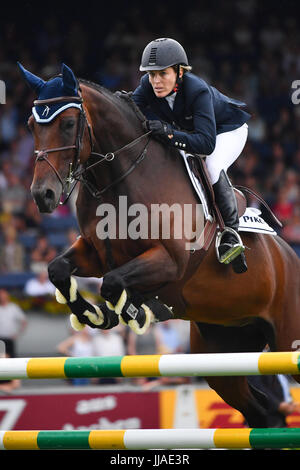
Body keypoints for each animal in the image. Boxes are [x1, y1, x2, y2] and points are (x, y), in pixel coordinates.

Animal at [19, 63, 300, 430]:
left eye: (67, 124)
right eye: (30, 125)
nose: (44, 196)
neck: (120, 177)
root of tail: (290, 255)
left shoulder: (170, 261)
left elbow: (113, 283)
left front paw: (134, 310)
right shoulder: (96, 253)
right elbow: (58, 270)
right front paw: (94, 314)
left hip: (287, 338)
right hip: (223, 348)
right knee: (261, 412)